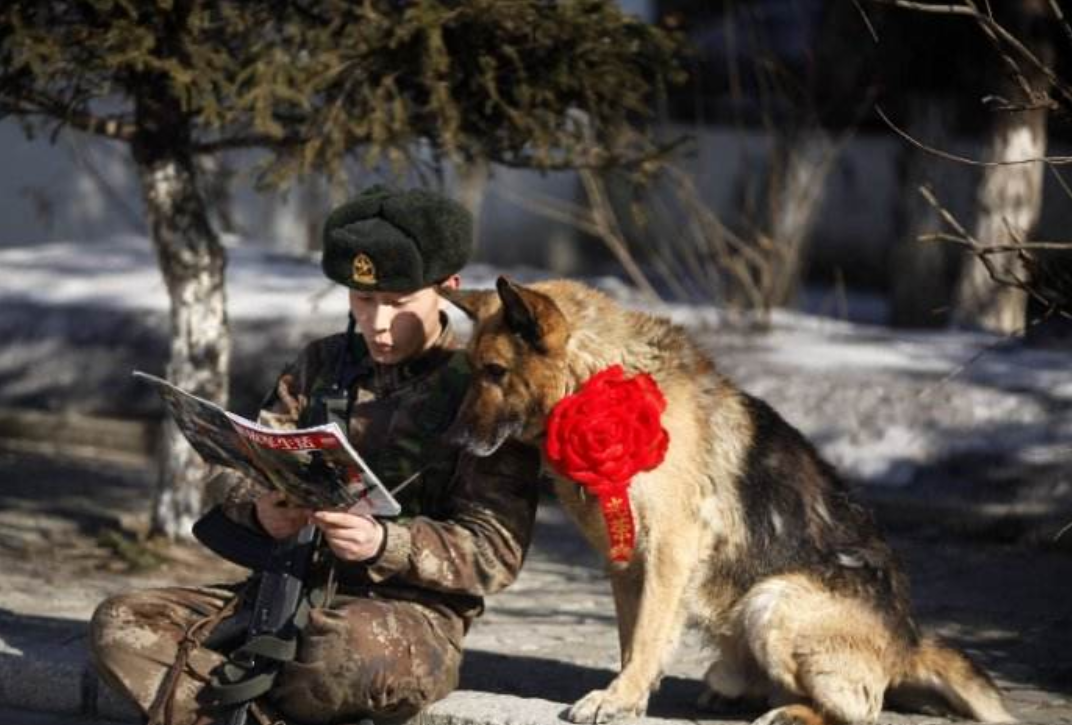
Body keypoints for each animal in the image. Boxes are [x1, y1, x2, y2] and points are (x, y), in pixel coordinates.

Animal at [443, 276, 1011, 725]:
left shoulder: (669, 550)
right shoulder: (625, 563)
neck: (598, 380)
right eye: (471, 367)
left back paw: (791, 712)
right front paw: (631, 695)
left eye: (494, 371)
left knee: (861, 710)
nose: (453, 442)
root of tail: (908, 641)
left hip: (773, 602)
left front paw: (618, 698)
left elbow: (647, 635)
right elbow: (633, 637)